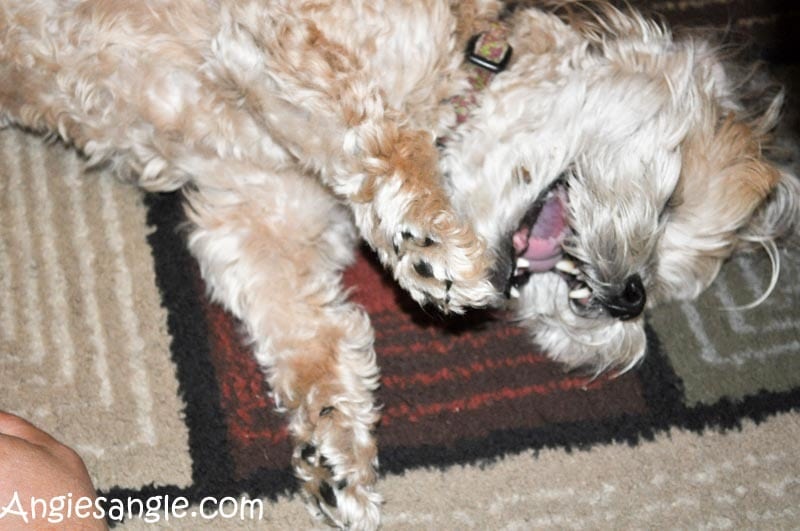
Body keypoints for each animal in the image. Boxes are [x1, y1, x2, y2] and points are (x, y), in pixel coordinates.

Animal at [0, 1, 796, 531]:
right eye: (669, 202)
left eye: (655, 292)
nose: (629, 295)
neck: (466, 62)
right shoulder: (284, 33)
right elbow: (382, 132)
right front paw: (430, 242)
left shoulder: (258, 224)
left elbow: (316, 341)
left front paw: (336, 449)